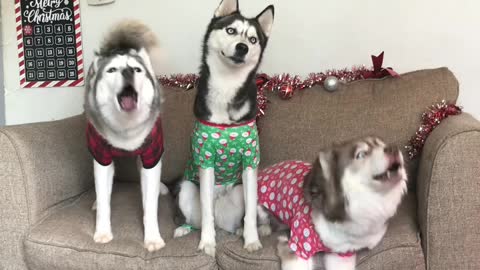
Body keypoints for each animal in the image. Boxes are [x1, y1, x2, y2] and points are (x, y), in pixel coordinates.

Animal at [84, 20, 169, 252]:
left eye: (137, 70)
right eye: (112, 70)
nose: (128, 71)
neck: (126, 129)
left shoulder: (151, 155)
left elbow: (150, 205)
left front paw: (152, 237)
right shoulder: (101, 157)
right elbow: (104, 200)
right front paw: (103, 232)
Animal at [174, 0, 276, 256]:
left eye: (253, 39)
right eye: (231, 30)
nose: (242, 47)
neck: (227, 85)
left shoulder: (250, 160)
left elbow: (250, 215)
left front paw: (251, 240)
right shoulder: (206, 159)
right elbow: (206, 213)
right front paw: (207, 242)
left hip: (240, 191)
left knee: (246, 215)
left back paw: (250, 230)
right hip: (186, 188)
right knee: (202, 216)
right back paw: (184, 228)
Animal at [256, 138, 406, 268]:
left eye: (382, 144)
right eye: (361, 154)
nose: (393, 148)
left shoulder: (342, 252)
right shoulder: (297, 246)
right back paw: (264, 229)